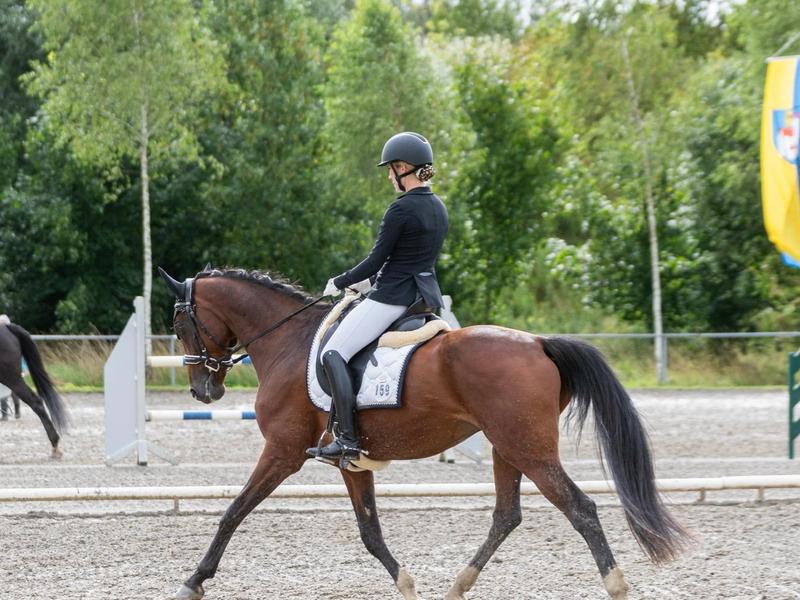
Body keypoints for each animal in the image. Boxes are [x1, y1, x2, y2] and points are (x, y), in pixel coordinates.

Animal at [158, 268, 689, 600]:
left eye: (180, 322)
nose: (202, 390)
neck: (287, 341)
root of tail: (538, 342)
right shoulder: (351, 460)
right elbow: (370, 532)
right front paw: (408, 585)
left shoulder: (282, 451)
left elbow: (232, 512)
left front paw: (193, 581)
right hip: (507, 447)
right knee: (506, 516)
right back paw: (457, 586)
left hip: (528, 450)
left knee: (581, 509)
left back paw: (616, 586)